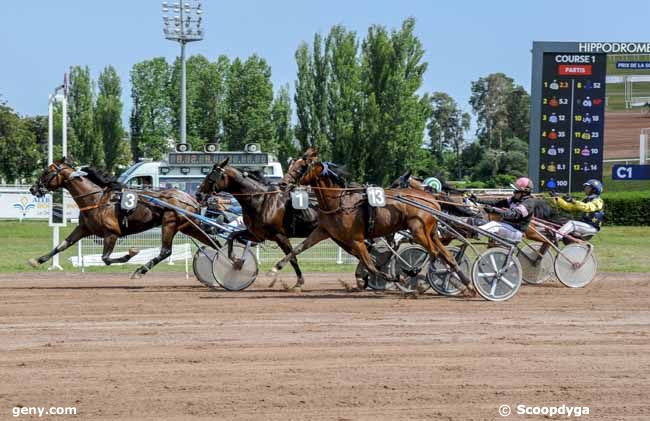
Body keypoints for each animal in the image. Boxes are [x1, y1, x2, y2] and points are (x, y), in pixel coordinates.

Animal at [29, 156, 211, 278]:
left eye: (47, 172)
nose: (33, 188)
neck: (97, 199)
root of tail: (191, 199)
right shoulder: (83, 229)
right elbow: (62, 245)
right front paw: (37, 260)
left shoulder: (112, 233)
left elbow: (106, 258)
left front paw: (131, 253)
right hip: (188, 227)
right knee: (210, 242)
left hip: (170, 223)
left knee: (165, 251)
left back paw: (140, 271)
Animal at [196, 154, 320, 288]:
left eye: (210, 177)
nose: (198, 195)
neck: (261, 199)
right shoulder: (257, 234)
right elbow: (232, 235)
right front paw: (235, 260)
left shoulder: (280, 236)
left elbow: (292, 257)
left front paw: (299, 282)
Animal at [266, 153, 474, 294]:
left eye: (301, 167)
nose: (282, 184)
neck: (340, 202)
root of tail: (432, 199)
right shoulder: (323, 231)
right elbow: (297, 249)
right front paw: (274, 271)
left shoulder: (356, 240)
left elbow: (370, 264)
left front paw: (392, 277)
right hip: (430, 233)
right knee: (447, 255)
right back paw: (467, 285)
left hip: (418, 231)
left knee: (433, 253)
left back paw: (416, 278)